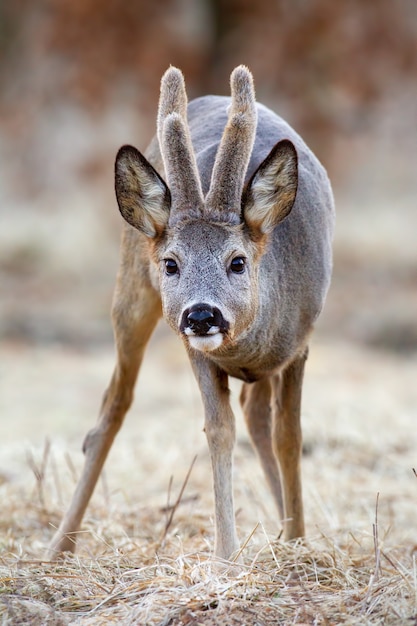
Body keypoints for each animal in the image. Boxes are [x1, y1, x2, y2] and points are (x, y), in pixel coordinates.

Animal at [48, 66, 334, 560]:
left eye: (237, 261)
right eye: (170, 264)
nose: (201, 315)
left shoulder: (300, 345)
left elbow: (290, 436)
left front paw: (297, 541)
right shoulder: (198, 351)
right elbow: (219, 431)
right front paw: (226, 556)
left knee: (257, 413)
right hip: (131, 291)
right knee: (114, 404)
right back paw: (58, 547)